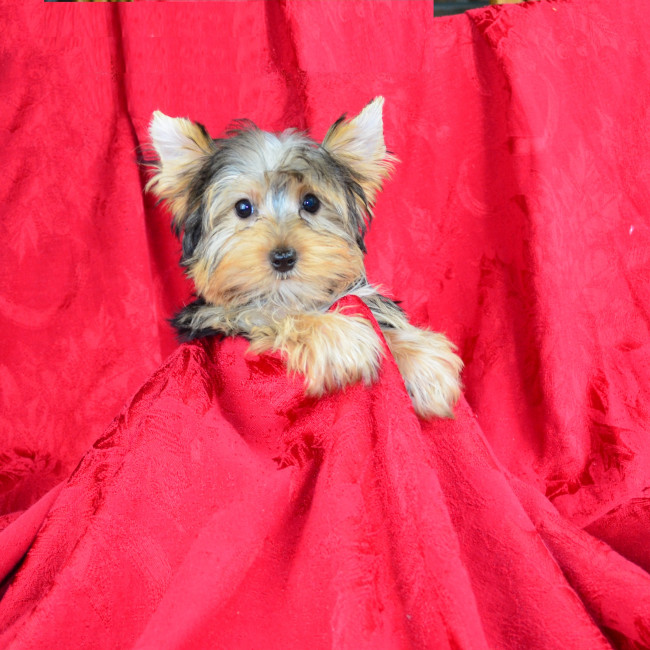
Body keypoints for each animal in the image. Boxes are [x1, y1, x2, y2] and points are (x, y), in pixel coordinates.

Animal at [147, 97, 462, 418]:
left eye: (311, 202)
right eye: (243, 208)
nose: (283, 257)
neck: (293, 295)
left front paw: (421, 361)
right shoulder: (215, 317)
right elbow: (266, 312)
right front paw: (339, 337)